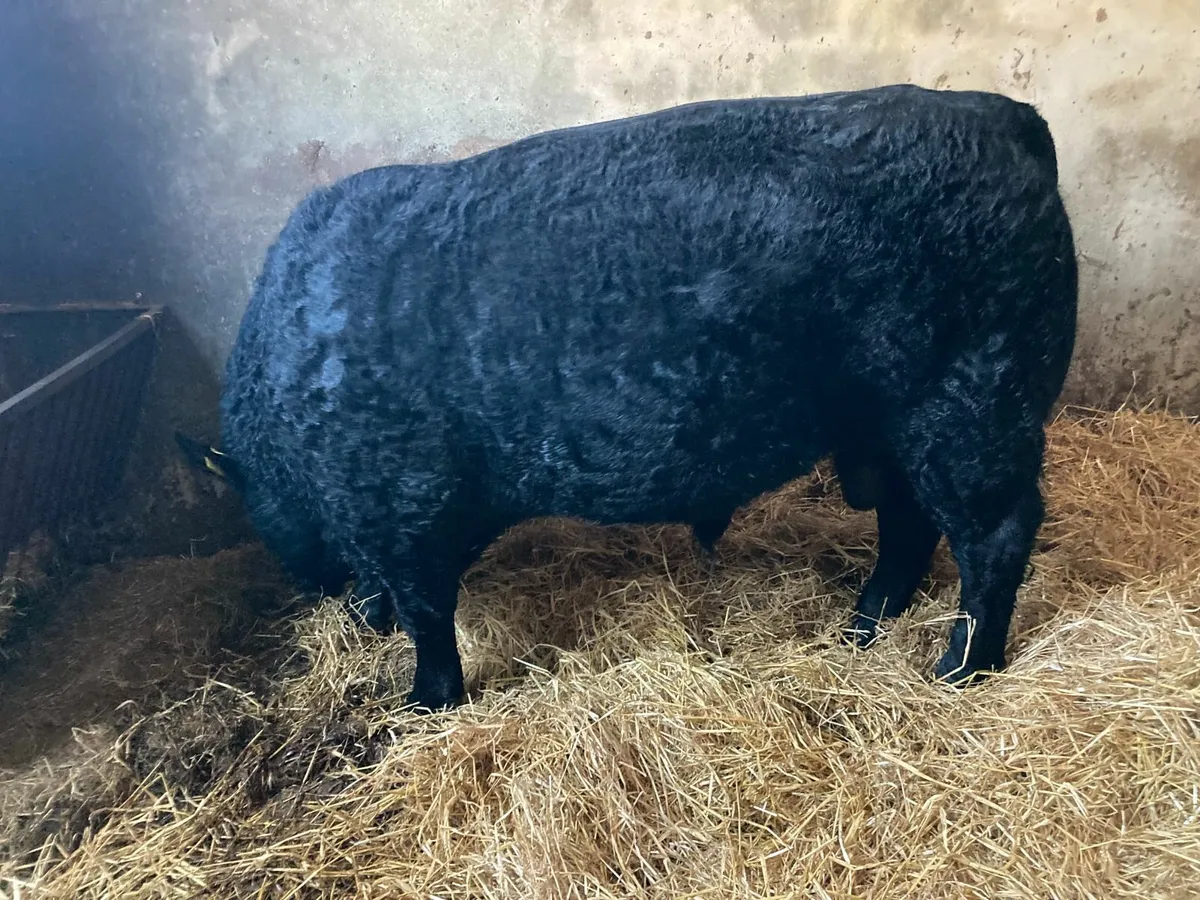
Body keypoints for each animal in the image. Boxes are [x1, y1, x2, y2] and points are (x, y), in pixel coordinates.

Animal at [178, 83, 1078, 712]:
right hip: (886, 427)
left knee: (995, 533)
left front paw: (424, 703)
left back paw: (957, 670)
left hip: (974, 405)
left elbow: (429, 615)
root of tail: (1015, 120)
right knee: (910, 522)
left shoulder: (401, 504)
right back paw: (861, 630)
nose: (341, 610)